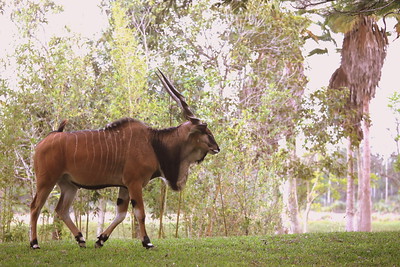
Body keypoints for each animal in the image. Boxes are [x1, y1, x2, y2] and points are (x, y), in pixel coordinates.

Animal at [29, 70, 220, 250]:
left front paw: (100, 240)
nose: (217, 148)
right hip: (46, 181)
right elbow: (139, 213)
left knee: (61, 209)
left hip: (69, 185)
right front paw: (147, 242)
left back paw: (81, 239)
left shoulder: (124, 186)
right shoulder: (134, 183)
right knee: (35, 207)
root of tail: (45, 141)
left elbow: (120, 214)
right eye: (205, 132)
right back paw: (34, 243)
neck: (153, 143)